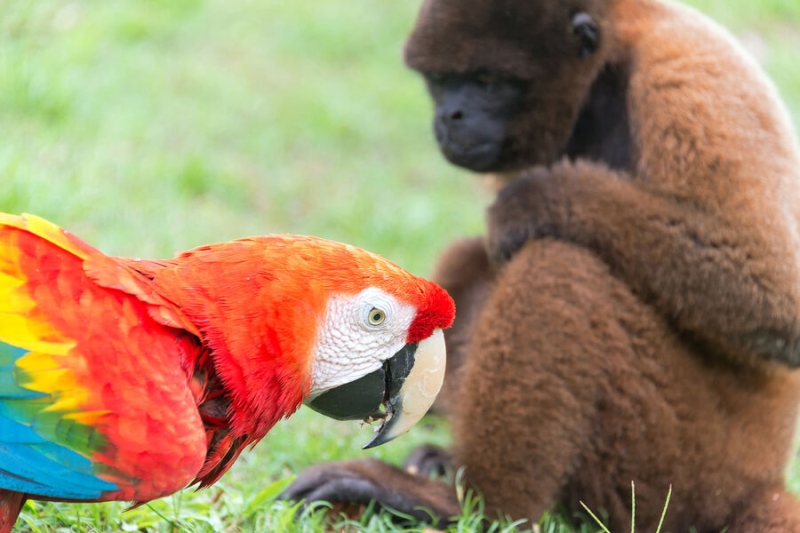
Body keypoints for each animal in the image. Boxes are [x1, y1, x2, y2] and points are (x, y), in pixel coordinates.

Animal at [282, 0, 800, 528]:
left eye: (488, 81)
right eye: (442, 81)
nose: (450, 116)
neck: (607, 65)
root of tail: (755, 486)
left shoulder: (683, 77)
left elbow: (777, 297)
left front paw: (541, 198)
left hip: (680, 465)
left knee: (557, 264)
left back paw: (469, 503)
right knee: (477, 257)